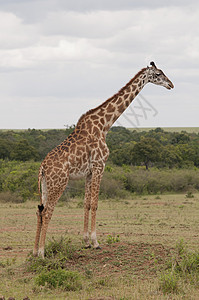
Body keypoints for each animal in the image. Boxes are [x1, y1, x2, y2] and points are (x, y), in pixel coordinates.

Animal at [33, 61, 174, 258]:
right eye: (159, 73)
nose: (171, 84)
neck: (104, 125)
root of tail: (43, 168)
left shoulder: (89, 172)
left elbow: (86, 204)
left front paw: (86, 242)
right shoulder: (100, 165)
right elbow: (95, 204)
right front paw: (95, 242)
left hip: (46, 185)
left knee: (39, 211)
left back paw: (33, 252)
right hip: (59, 182)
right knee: (47, 212)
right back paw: (42, 253)